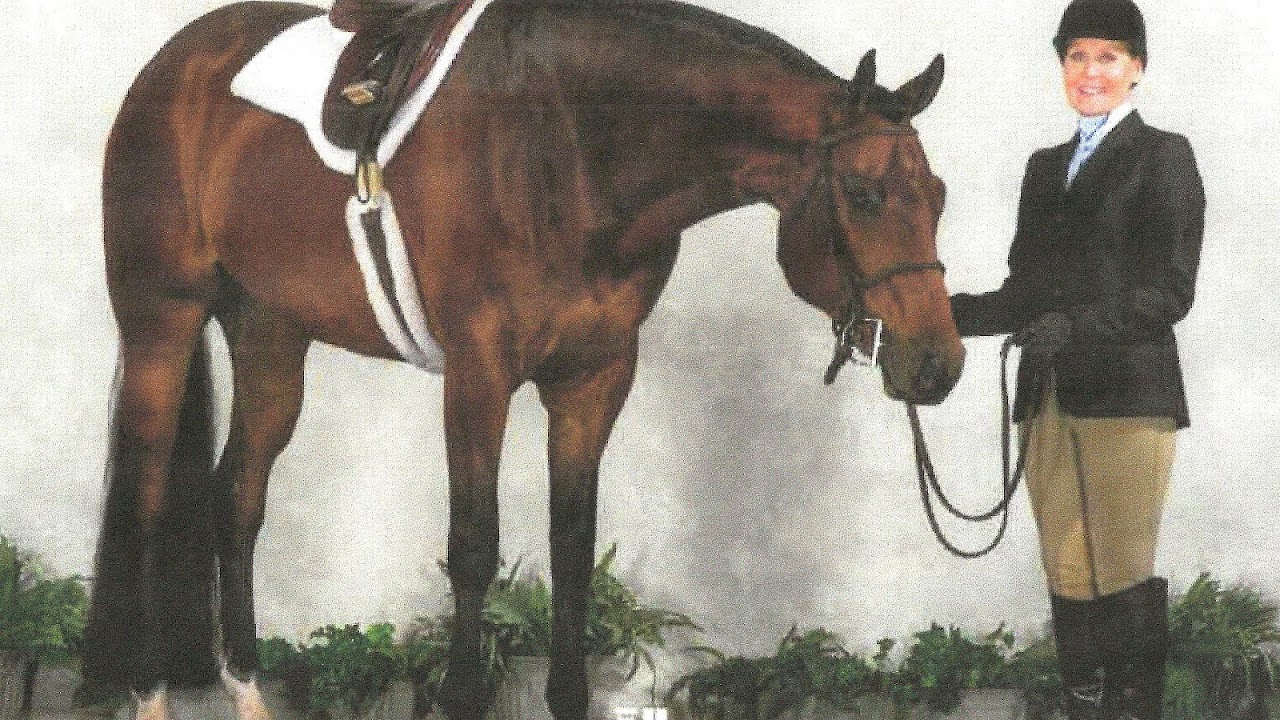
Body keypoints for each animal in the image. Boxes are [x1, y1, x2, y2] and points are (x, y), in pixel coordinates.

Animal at [78, 1, 964, 719]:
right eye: (863, 195)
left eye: (940, 195)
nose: (939, 365)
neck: (565, 145)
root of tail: (174, 65)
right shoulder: (480, 375)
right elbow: (473, 547)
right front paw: (464, 692)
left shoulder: (595, 377)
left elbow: (572, 546)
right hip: (162, 324)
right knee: (147, 499)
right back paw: (148, 689)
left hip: (270, 336)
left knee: (237, 495)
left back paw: (247, 687)